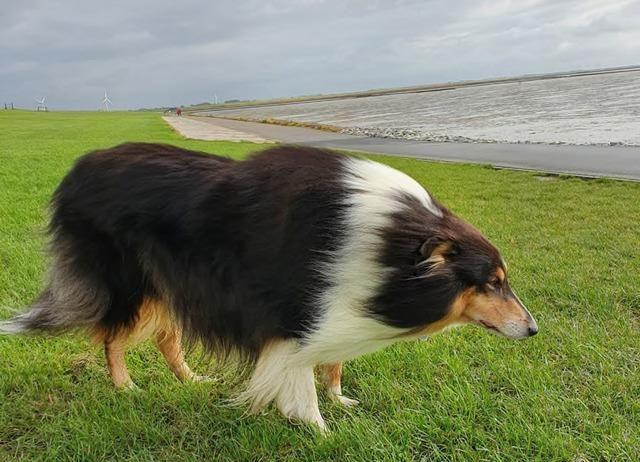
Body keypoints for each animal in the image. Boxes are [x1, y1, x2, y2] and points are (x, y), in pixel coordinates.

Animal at [1, 143, 538, 430]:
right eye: (493, 283)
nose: (533, 330)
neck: (390, 244)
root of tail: (79, 167)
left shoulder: (337, 305)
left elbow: (332, 362)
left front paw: (339, 401)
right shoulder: (292, 318)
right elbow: (299, 377)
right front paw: (319, 429)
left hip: (169, 286)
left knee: (166, 338)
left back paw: (192, 381)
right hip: (130, 282)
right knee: (113, 337)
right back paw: (125, 387)